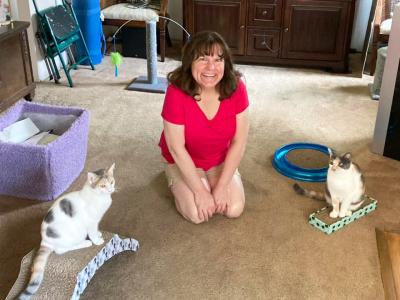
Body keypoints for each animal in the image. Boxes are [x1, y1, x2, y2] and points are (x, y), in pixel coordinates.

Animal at [18, 164, 115, 300]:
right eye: (102, 186)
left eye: (111, 182)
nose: (110, 189)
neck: (99, 197)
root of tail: (45, 239)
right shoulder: (91, 222)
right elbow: (92, 232)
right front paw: (97, 241)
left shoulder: (96, 221)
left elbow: (95, 230)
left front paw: (98, 234)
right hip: (73, 235)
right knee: (61, 250)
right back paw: (85, 243)